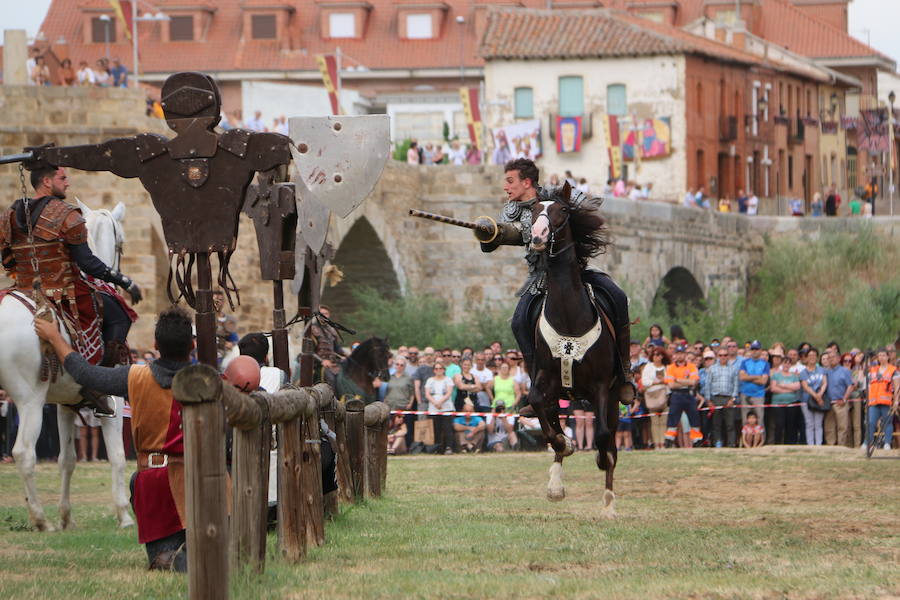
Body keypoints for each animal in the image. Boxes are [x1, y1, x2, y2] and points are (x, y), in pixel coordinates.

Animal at [0, 200, 134, 528]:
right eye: (122, 241)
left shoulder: (66, 403)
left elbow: (67, 460)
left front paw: (66, 518)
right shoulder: (113, 399)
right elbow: (117, 456)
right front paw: (124, 514)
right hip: (30, 400)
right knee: (24, 453)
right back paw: (39, 519)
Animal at [528, 184, 620, 516]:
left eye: (563, 211)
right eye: (534, 210)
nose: (538, 235)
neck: (569, 315)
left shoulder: (602, 386)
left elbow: (604, 437)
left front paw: (602, 464)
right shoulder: (545, 378)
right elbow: (541, 411)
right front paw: (564, 445)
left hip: (615, 396)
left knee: (611, 436)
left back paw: (608, 500)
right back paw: (556, 483)